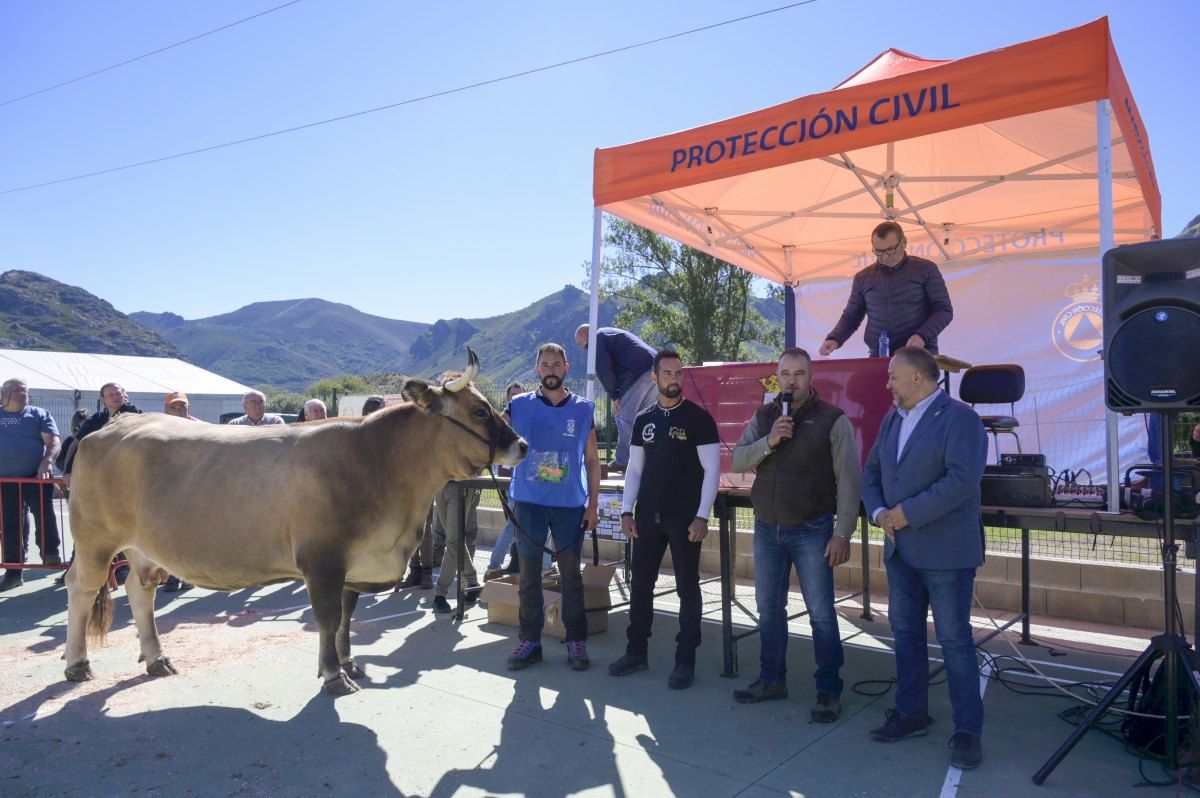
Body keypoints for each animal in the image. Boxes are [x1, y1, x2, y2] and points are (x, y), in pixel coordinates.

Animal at [63, 348, 525, 691]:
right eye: (480, 412)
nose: (521, 445)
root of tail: (113, 425)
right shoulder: (322, 560)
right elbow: (327, 618)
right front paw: (334, 677)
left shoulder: (353, 565)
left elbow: (346, 618)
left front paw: (349, 664)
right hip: (95, 541)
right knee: (81, 589)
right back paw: (77, 664)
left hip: (142, 547)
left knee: (140, 591)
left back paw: (157, 659)